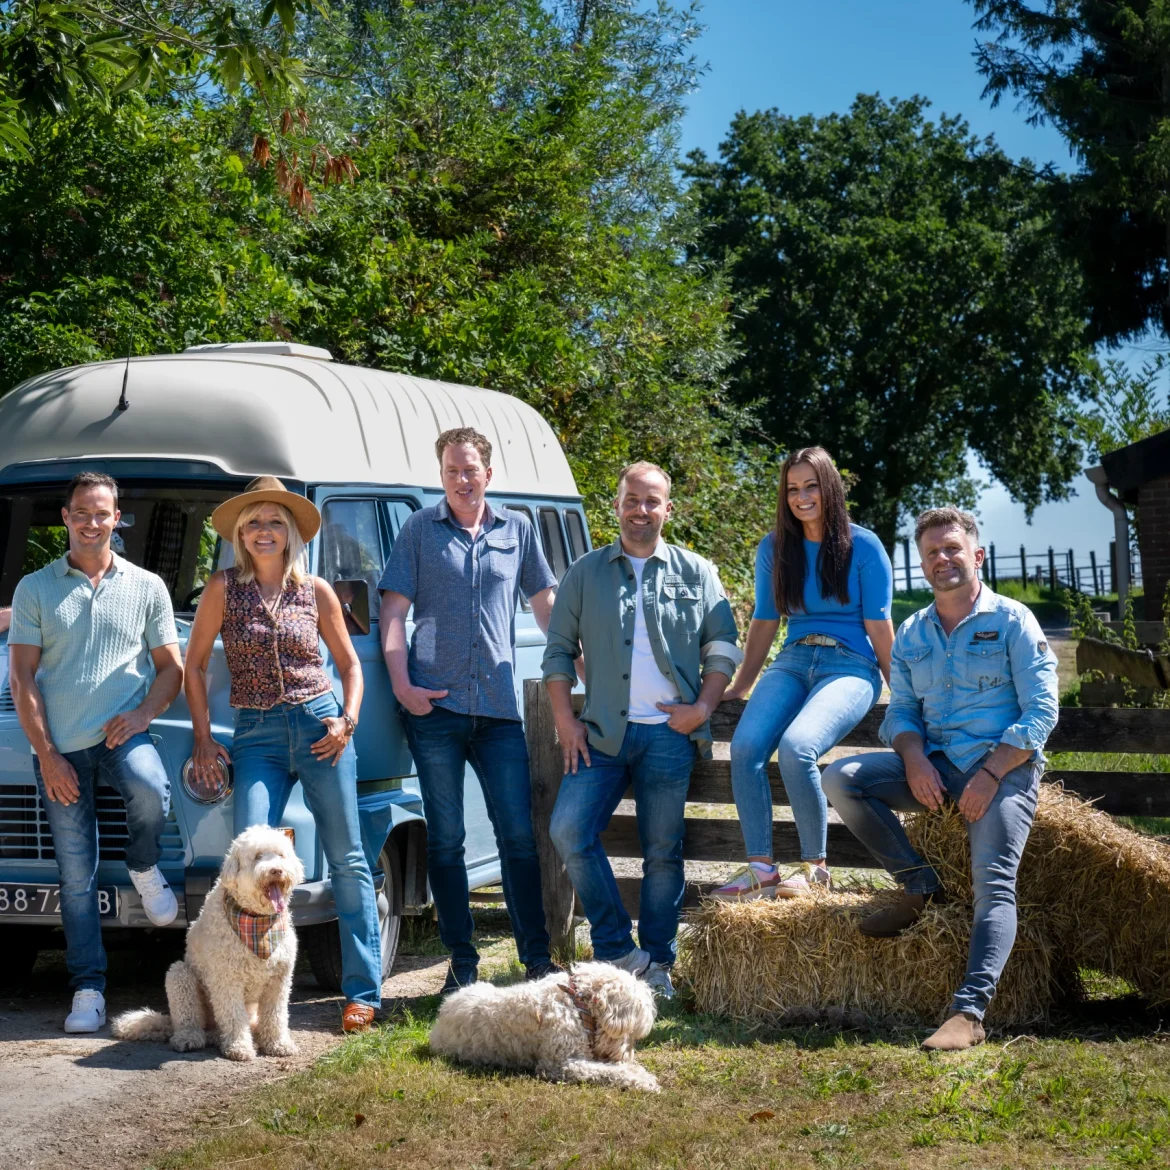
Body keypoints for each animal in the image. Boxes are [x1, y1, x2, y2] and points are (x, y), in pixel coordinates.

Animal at [111, 823, 304, 1062]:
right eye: (258, 856)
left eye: (280, 855)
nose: (276, 870)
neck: (255, 922)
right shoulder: (226, 979)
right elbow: (233, 1016)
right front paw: (239, 1047)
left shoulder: (279, 980)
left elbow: (275, 1016)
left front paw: (277, 1044)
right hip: (180, 977)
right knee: (190, 1019)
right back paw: (191, 1038)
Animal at [430, 964, 664, 1090]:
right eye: (632, 1034)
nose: (627, 1056)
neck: (576, 1002)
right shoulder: (562, 1064)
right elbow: (606, 1072)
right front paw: (641, 1078)